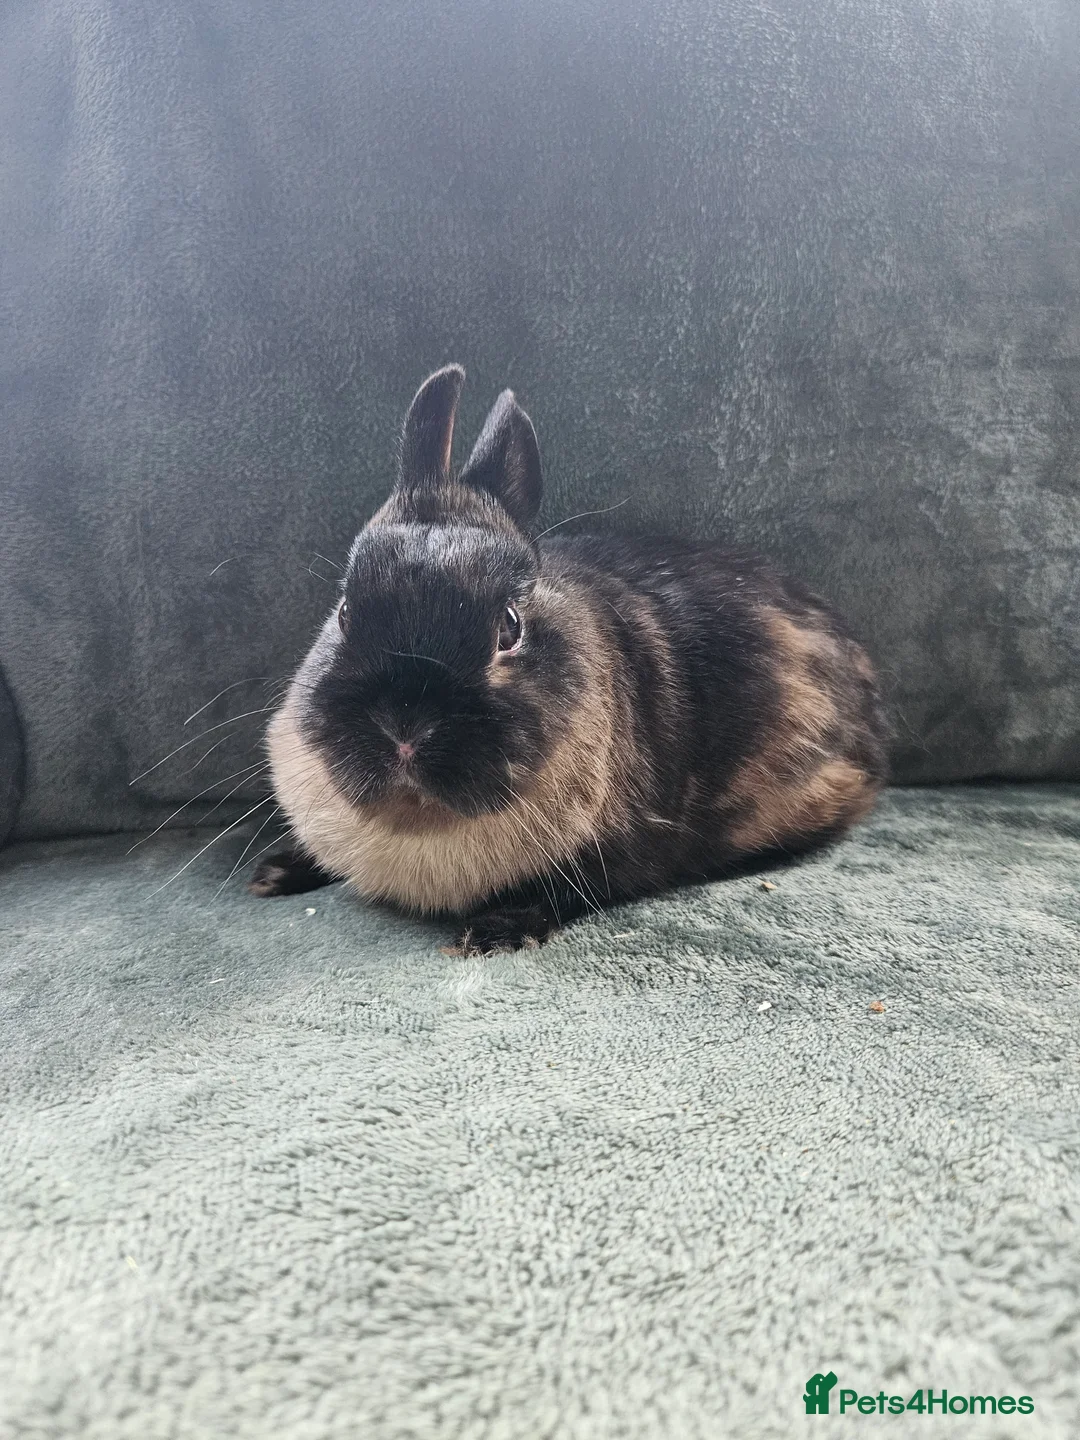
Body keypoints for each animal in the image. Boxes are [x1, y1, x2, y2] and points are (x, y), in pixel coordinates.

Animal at [251, 364, 889, 952]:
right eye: (345, 613)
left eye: (510, 628)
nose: (404, 729)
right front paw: (275, 873)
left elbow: (570, 891)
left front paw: (492, 934)